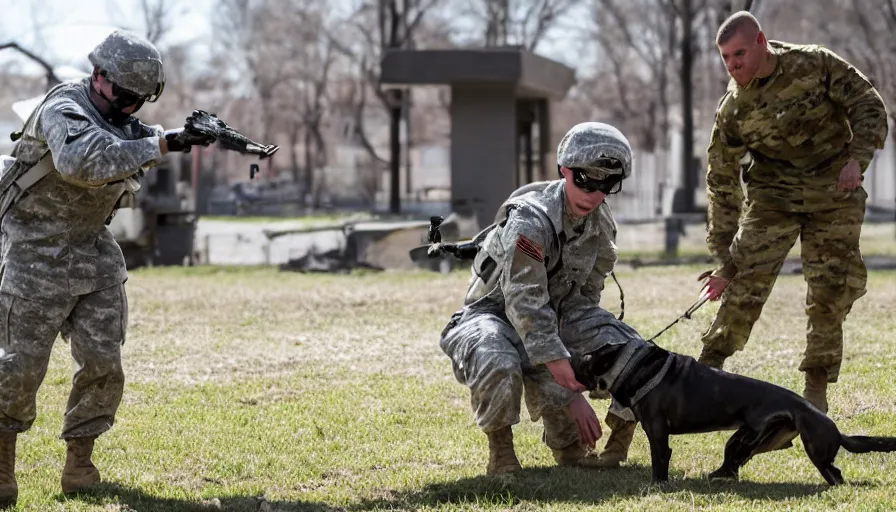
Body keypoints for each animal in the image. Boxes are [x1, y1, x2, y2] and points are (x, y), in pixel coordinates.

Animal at [572, 344, 896, 484]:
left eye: (584, 360)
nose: (569, 358)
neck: (633, 364)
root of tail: (833, 428)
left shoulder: (658, 433)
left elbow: (659, 462)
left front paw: (658, 487)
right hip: (743, 439)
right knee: (732, 465)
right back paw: (716, 478)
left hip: (812, 451)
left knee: (835, 474)